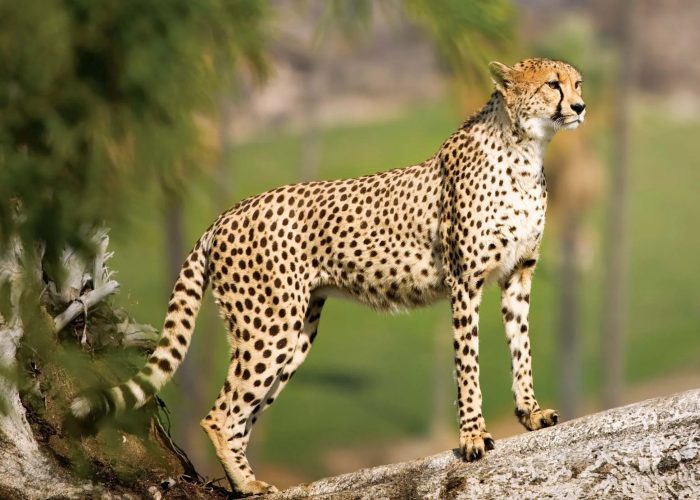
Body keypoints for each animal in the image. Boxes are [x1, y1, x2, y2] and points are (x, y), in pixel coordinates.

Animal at [70, 58, 585, 496]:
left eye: (576, 82)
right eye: (551, 85)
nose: (580, 106)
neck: (525, 149)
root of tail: (226, 214)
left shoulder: (517, 276)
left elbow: (521, 349)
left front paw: (530, 414)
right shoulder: (465, 281)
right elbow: (468, 364)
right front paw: (474, 436)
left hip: (295, 334)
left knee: (241, 415)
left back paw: (247, 482)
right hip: (269, 328)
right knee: (219, 415)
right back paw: (247, 484)